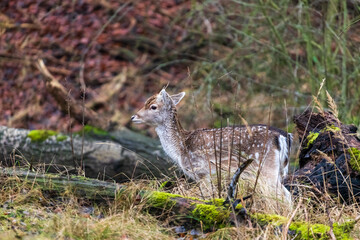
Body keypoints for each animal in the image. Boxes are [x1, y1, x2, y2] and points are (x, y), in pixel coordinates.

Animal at [132, 88, 292, 204]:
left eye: (153, 107)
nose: (134, 117)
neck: (181, 148)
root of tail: (283, 136)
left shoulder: (202, 171)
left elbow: (206, 195)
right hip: (279, 170)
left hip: (266, 169)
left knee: (284, 195)